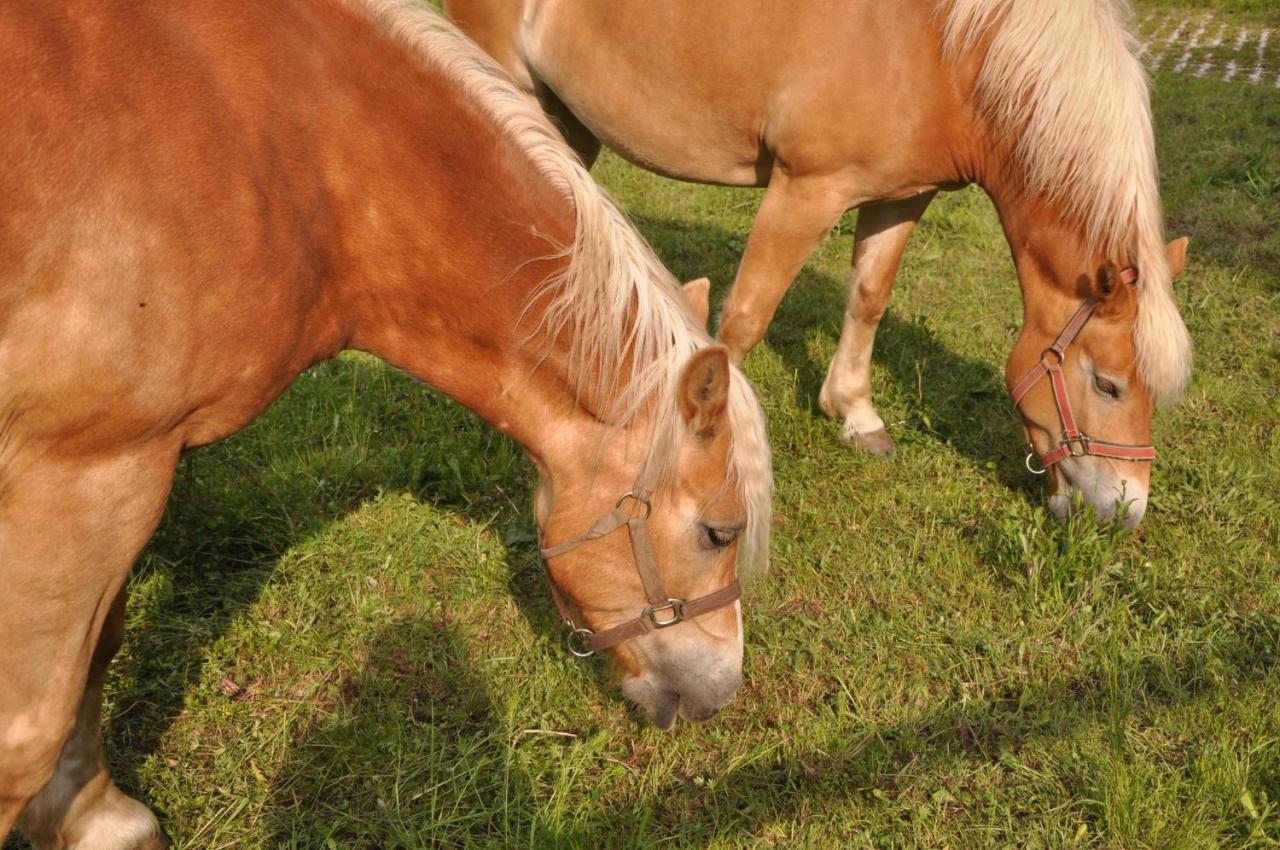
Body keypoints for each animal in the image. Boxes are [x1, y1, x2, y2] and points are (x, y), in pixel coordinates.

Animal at [0, 0, 768, 844]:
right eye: (719, 533)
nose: (724, 689)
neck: (292, 157)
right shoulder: (89, 475)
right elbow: (28, 730)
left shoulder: (119, 477)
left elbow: (95, 655)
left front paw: (89, 814)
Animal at [445, 0, 1192, 524]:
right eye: (1108, 386)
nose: (1126, 511)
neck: (941, 47)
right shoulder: (806, 190)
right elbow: (745, 319)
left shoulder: (902, 195)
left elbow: (869, 297)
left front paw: (855, 413)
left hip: (569, 120)